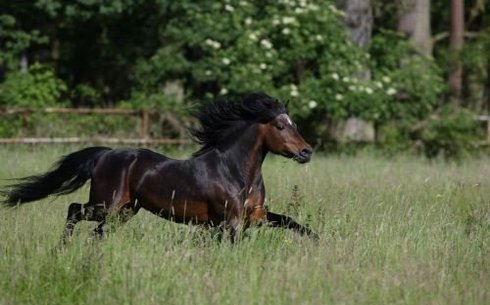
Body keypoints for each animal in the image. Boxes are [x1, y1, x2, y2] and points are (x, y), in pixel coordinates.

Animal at [1, 92, 316, 242]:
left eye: (294, 123)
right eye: (280, 126)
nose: (306, 152)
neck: (235, 172)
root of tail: (104, 155)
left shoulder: (256, 217)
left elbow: (291, 221)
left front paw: (317, 241)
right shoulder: (230, 221)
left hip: (125, 211)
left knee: (96, 232)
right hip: (106, 204)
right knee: (74, 210)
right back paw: (61, 249)